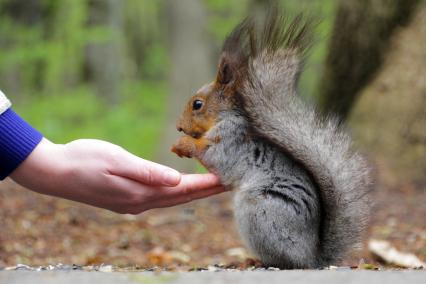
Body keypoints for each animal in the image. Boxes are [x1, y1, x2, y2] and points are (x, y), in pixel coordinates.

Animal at [171, 10, 372, 268]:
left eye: (197, 104)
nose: (179, 127)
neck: (225, 117)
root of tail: (312, 257)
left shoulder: (230, 141)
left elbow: (211, 155)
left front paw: (183, 145)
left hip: (261, 213)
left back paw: (256, 261)